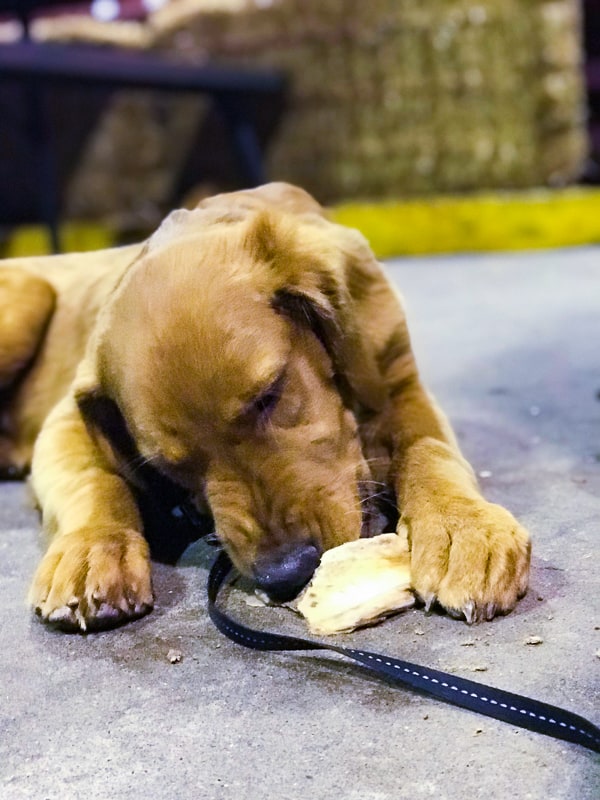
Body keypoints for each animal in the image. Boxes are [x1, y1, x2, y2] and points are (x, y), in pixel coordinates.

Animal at [0, 181, 528, 632]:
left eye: (270, 394)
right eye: (170, 465)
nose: (286, 572)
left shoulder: (396, 381)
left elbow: (428, 447)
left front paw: (462, 528)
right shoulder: (67, 417)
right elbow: (92, 479)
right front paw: (92, 550)